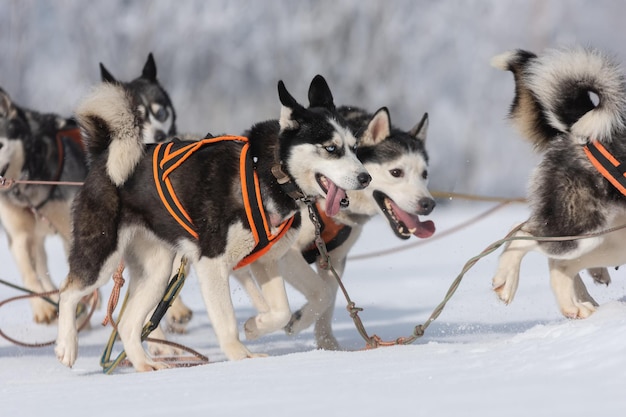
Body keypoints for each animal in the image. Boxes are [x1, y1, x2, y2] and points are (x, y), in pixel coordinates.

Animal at [0, 53, 178, 324]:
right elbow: (29, 272)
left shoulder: (69, 230)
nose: (159, 135)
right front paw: (42, 308)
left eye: (161, 113)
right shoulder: (18, 235)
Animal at [54, 75, 370, 370]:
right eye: (331, 148)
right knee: (67, 292)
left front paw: (257, 327)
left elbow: (294, 305)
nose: (365, 177)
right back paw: (67, 346)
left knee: (129, 324)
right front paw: (241, 356)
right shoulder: (213, 263)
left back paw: (146, 365)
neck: (266, 170)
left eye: (355, 147)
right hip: (102, 255)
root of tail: (103, 154)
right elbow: (227, 320)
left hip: (157, 272)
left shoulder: (268, 258)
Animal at [233, 105, 434, 348]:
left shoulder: (334, 258)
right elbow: (323, 294)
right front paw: (297, 322)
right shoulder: (288, 252)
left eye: (424, 174)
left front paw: (328, 346)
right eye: (396, 172)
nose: (428, 204)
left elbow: (329, 295)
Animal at [490, 45, 624, 316]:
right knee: (524, 233)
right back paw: (507, 280)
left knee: (559, 263)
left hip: (611, 238)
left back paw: (578, 307)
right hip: (581, 229)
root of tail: (579, 134)